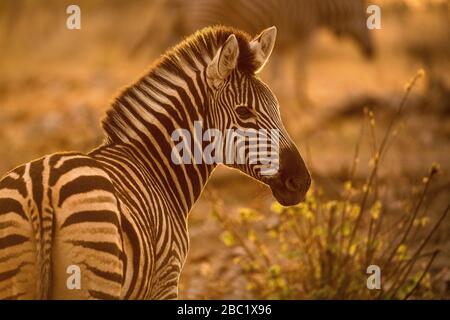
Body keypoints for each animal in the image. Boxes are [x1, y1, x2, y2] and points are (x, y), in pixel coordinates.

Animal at [0, 25, 310, 300]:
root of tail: (41, 189)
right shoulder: (167, 277)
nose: (302, 181)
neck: (154, 166)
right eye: (244, 112)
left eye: (277, 108)